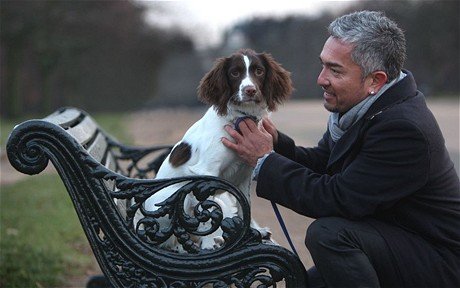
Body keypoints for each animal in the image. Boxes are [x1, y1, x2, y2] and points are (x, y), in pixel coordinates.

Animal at [144, 48, 292, 251]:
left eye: (259, 71)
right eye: (235, 73)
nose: (250, 90)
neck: (239, 119)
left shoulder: (246, 173)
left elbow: (245, 204)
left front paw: (253, 232)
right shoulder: (206, 172)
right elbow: (206, 210)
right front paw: (207, 245)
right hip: (174, 197)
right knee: (169, 239)